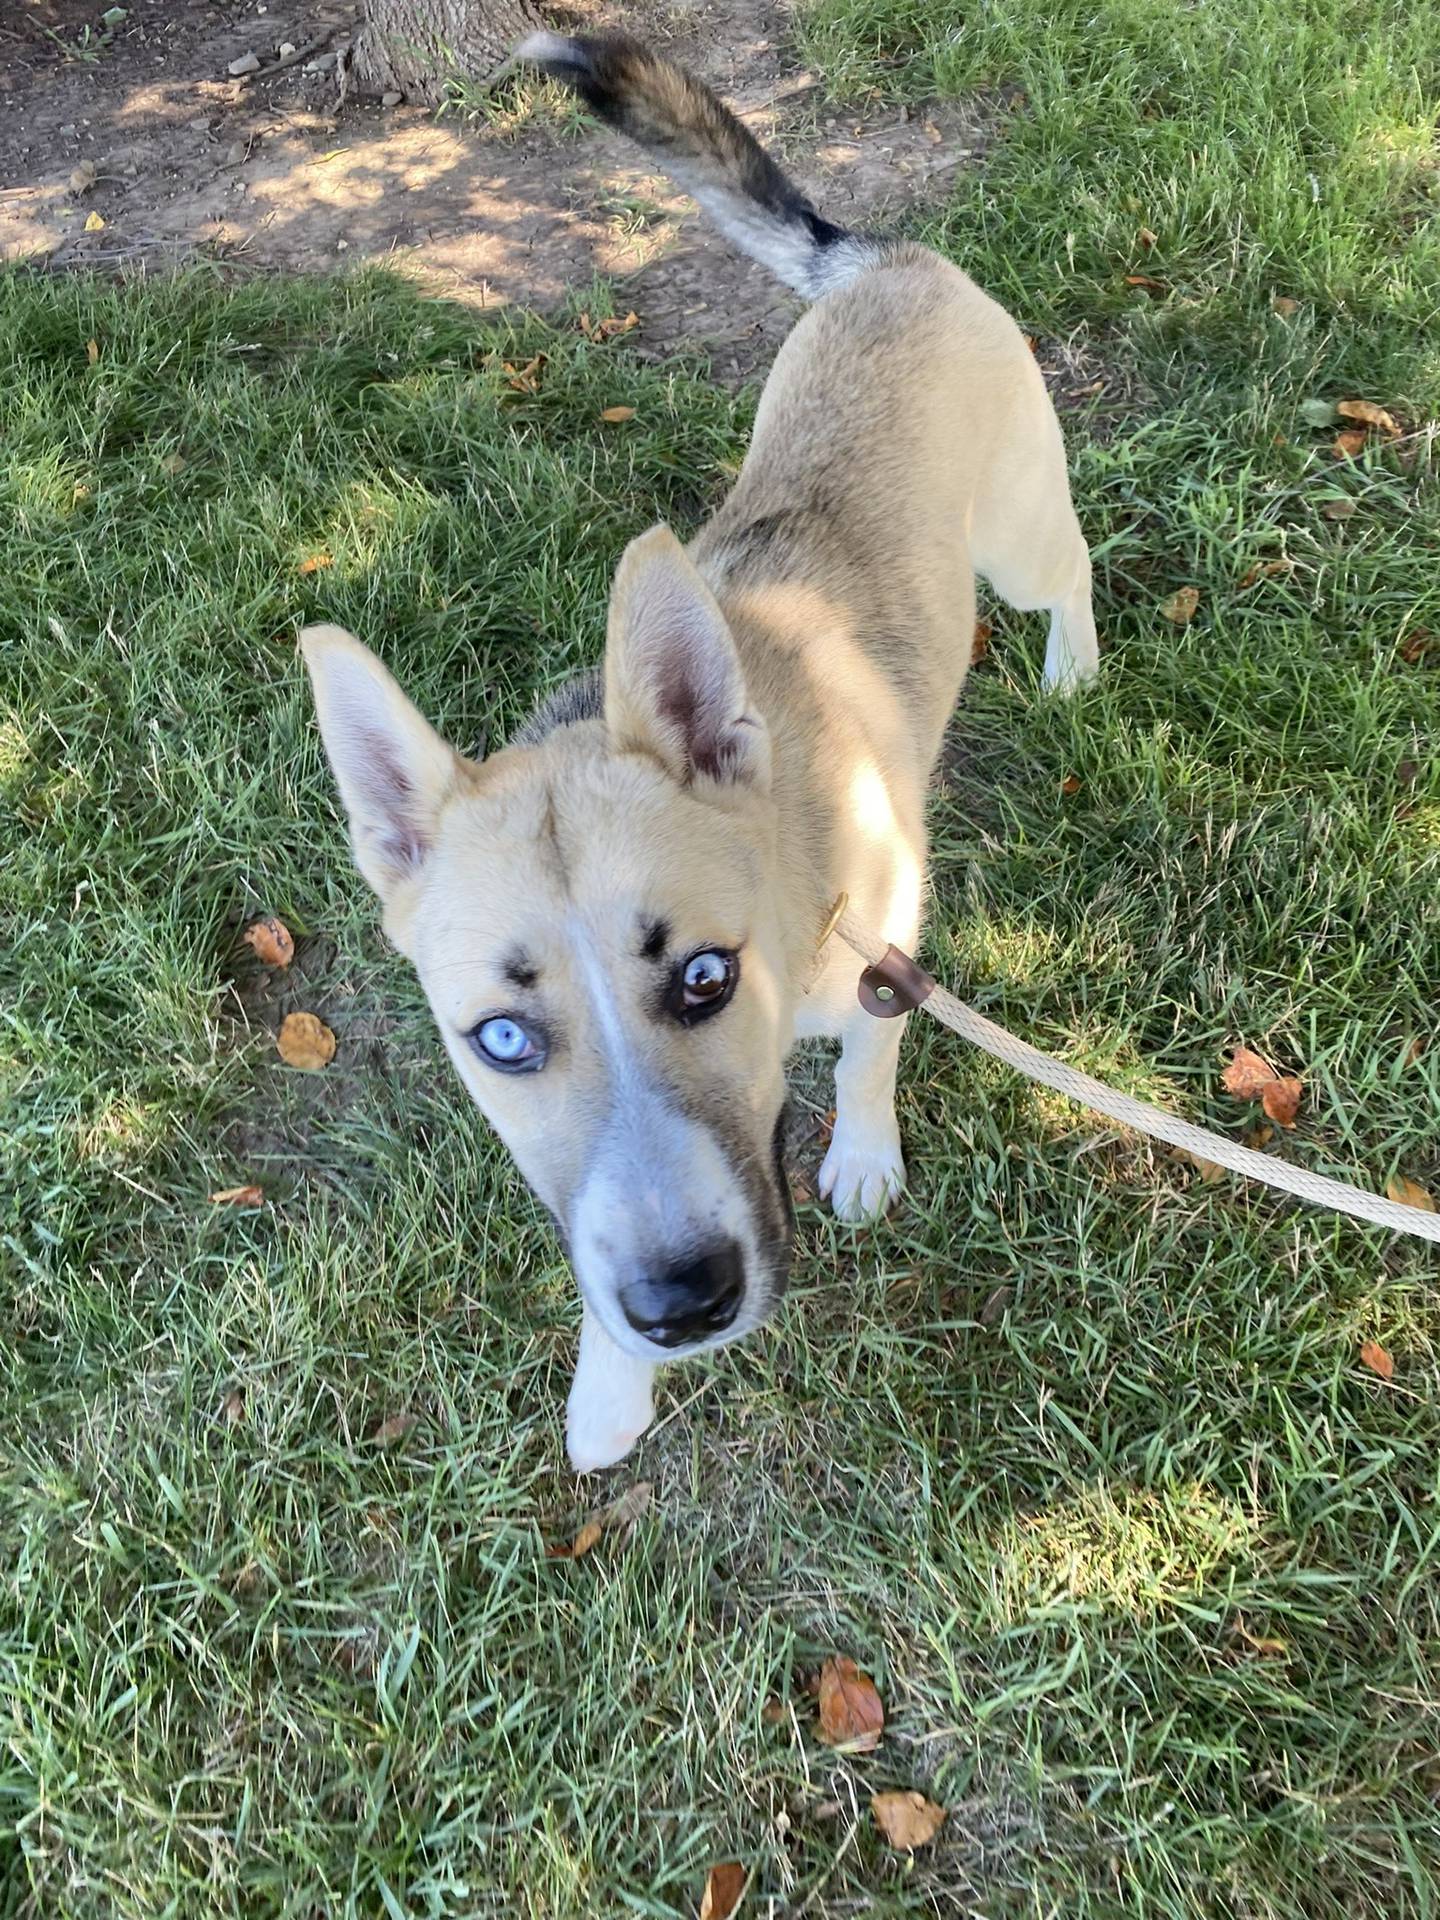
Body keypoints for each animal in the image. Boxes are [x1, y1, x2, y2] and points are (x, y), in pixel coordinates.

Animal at [299, 30, 1098, 1466]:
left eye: (704, 978)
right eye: (501, 1039)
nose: (680, 1305)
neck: (794, 899)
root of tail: (884, 259)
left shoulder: (887, 955)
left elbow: (873, 1060)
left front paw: (863, 1155)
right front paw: (610, 1389)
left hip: (1014, 538)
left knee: (1075, 573)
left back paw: (1080, 662)